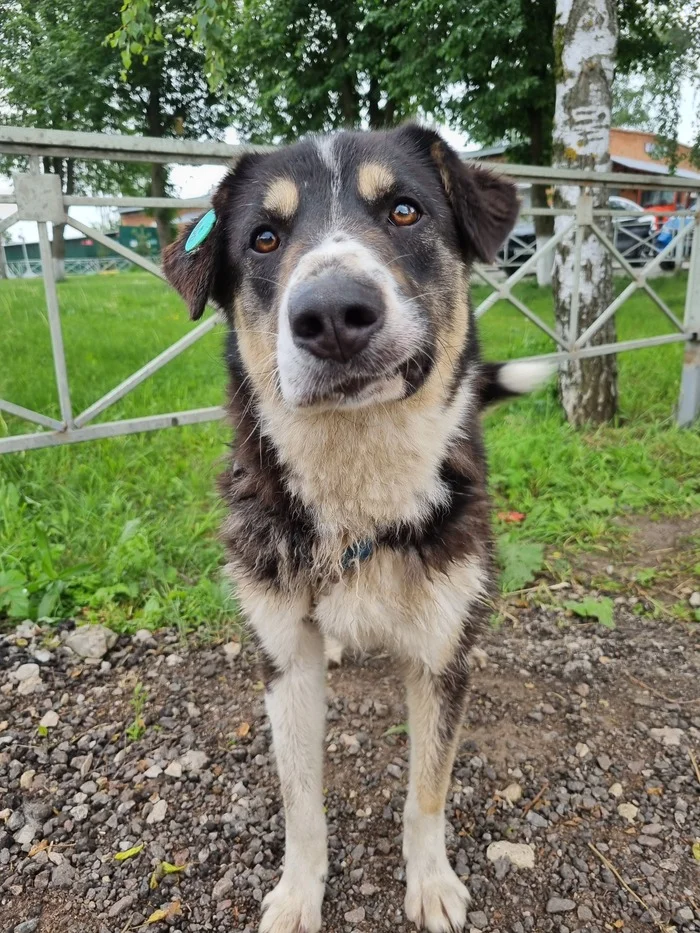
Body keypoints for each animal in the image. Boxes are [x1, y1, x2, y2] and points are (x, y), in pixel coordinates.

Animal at [163, 125, 548, 932]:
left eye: (404, 210)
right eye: (264, 237)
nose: (334, 312)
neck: (357, 492)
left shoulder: (441, 659)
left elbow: (427, 792)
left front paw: (430, 883)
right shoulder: (284, 661)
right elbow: (300, 801)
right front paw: (296, 894)